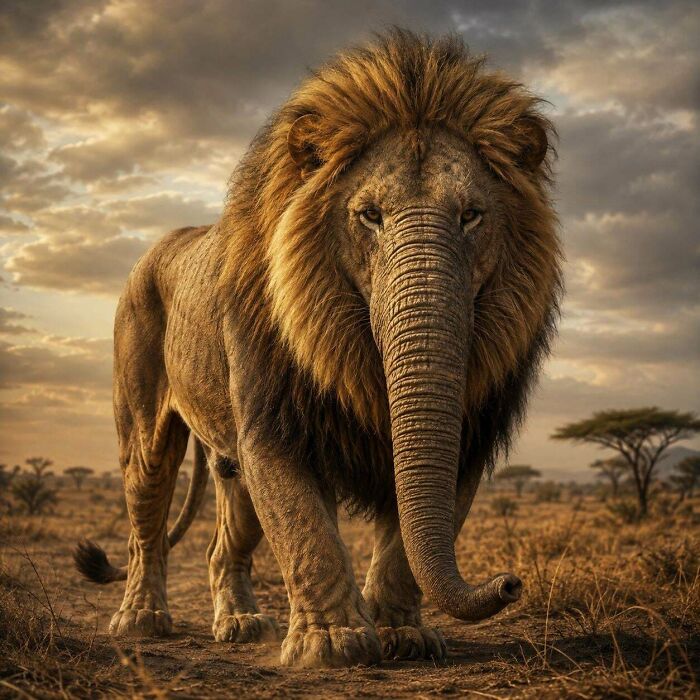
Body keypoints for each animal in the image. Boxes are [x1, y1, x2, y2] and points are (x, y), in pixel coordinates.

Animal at [75, 29, 562, 668]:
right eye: (370, 215)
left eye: (472, 215)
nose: (510, 582)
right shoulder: (272, 423)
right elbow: (308, 532)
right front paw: (333, 642)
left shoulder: (470, 431)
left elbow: (408, 535)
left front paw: (404, 634)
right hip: (143, 418)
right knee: (146, 516)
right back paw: (141, 620)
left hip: (229, 465)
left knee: (222, 544)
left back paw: (241, 624)